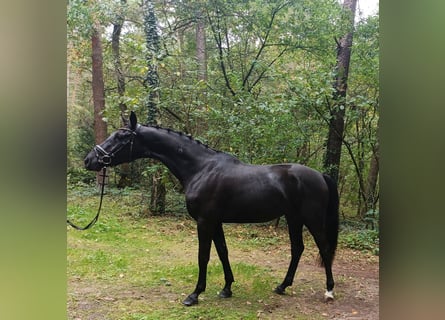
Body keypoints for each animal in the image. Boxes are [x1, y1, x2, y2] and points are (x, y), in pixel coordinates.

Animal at [83, 111, 338, 306]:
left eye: (121, 136)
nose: (89, 160)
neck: (201, 169)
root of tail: (320, 175)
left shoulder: (204, 221)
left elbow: (203, 256)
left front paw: (194, 294)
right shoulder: (215, 222)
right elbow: (223, 252)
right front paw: (227, 288)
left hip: (312, 219)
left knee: (324, 249)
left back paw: (329, 291)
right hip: (294, 218)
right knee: (297, 249)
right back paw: (282, 286)